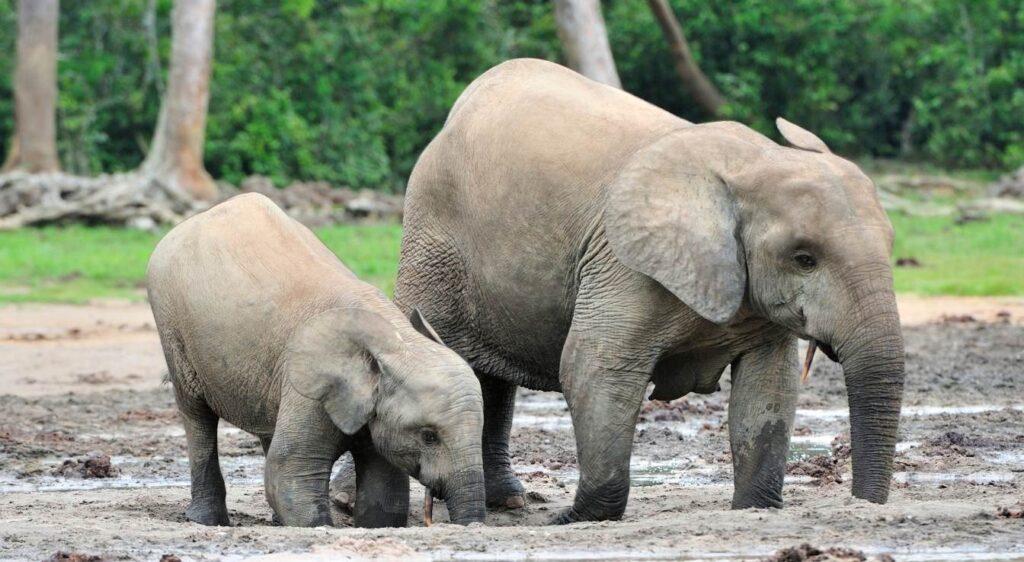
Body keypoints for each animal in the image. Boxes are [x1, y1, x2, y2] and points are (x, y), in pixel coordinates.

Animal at [146, 193, 485, 528]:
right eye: (429, 436)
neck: (395, 339)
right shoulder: (313, 386)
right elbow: (291, 468)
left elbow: (384, 482)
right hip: (172, 325)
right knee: (197, 415)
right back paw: (206, 521)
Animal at [394, 59, 905, 523]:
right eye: (804, 258)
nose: (863, 507)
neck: (752, 162)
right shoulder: (623, 263)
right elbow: (593, 367)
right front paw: (577, 519)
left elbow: (769, 386)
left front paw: (754, 509)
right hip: (433, 242)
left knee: (490, 378)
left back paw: (508, 502)